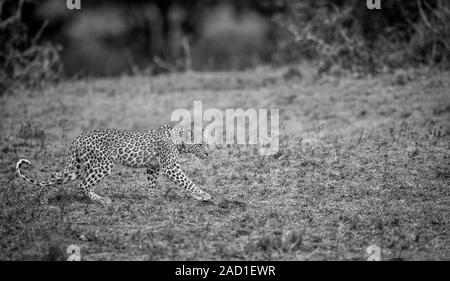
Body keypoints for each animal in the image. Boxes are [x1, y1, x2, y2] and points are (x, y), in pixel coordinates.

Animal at [16, 123, 213, 205]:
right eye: (199, 144)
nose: (207, 153)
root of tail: (77, 138)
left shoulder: (153, 167)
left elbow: (152, 183)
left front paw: (153, 198)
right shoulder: (170, 167)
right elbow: (187, 182)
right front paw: (202, 195)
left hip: (77, 167)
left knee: (55, 177)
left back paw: (42, 199)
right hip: (103, 165)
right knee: (83, 184)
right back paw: (103, 200)